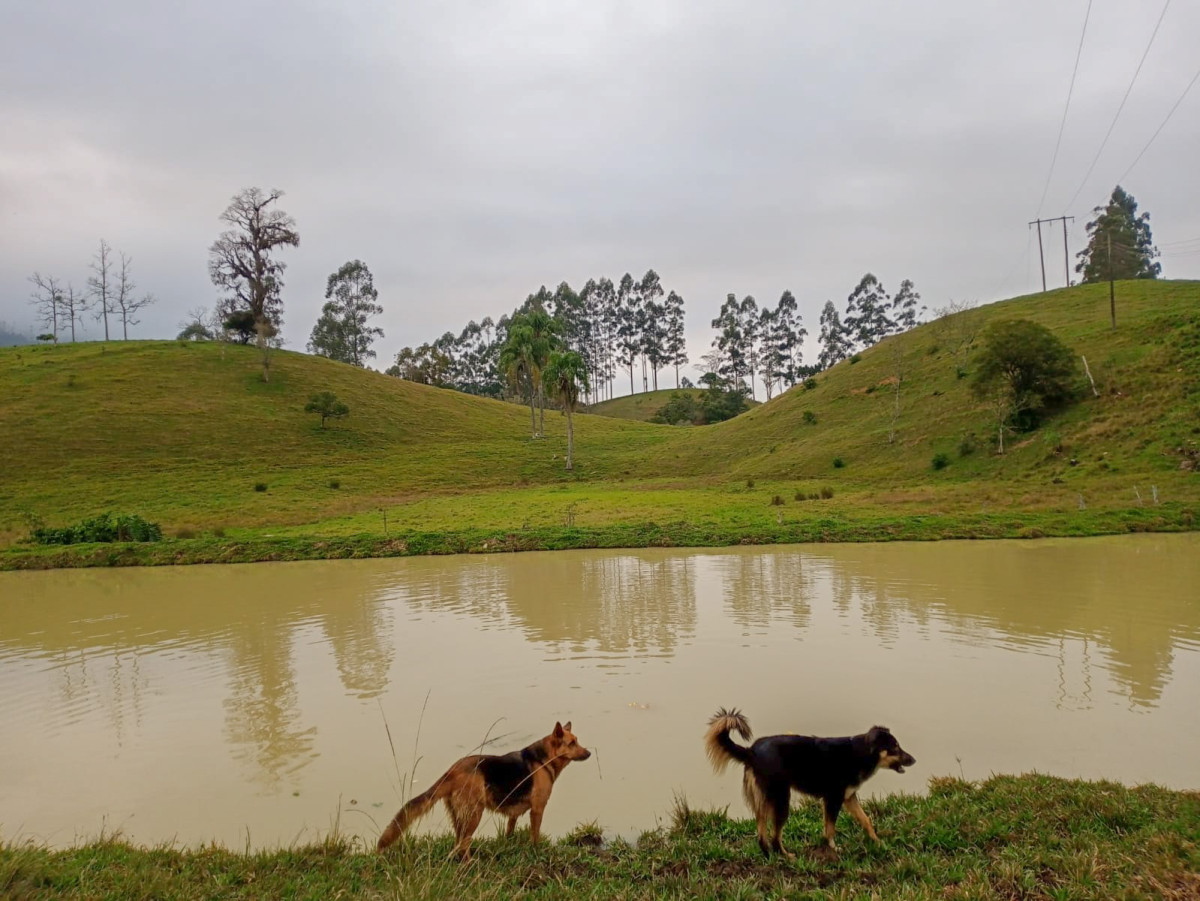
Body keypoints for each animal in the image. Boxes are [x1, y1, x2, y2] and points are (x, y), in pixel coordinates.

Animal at [705, 710, 912, 854]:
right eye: (895, 747)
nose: (913, 760)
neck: (861, 753)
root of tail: (750, 751)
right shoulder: (834, 799)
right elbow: (830, 827)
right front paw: (833, 848)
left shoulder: (848, 797)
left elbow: (866, 820)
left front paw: (877, 841)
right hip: (781, 799)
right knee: (775, 835)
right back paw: (785, 855)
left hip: (765, 799)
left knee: (762, 832)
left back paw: (768, 854)